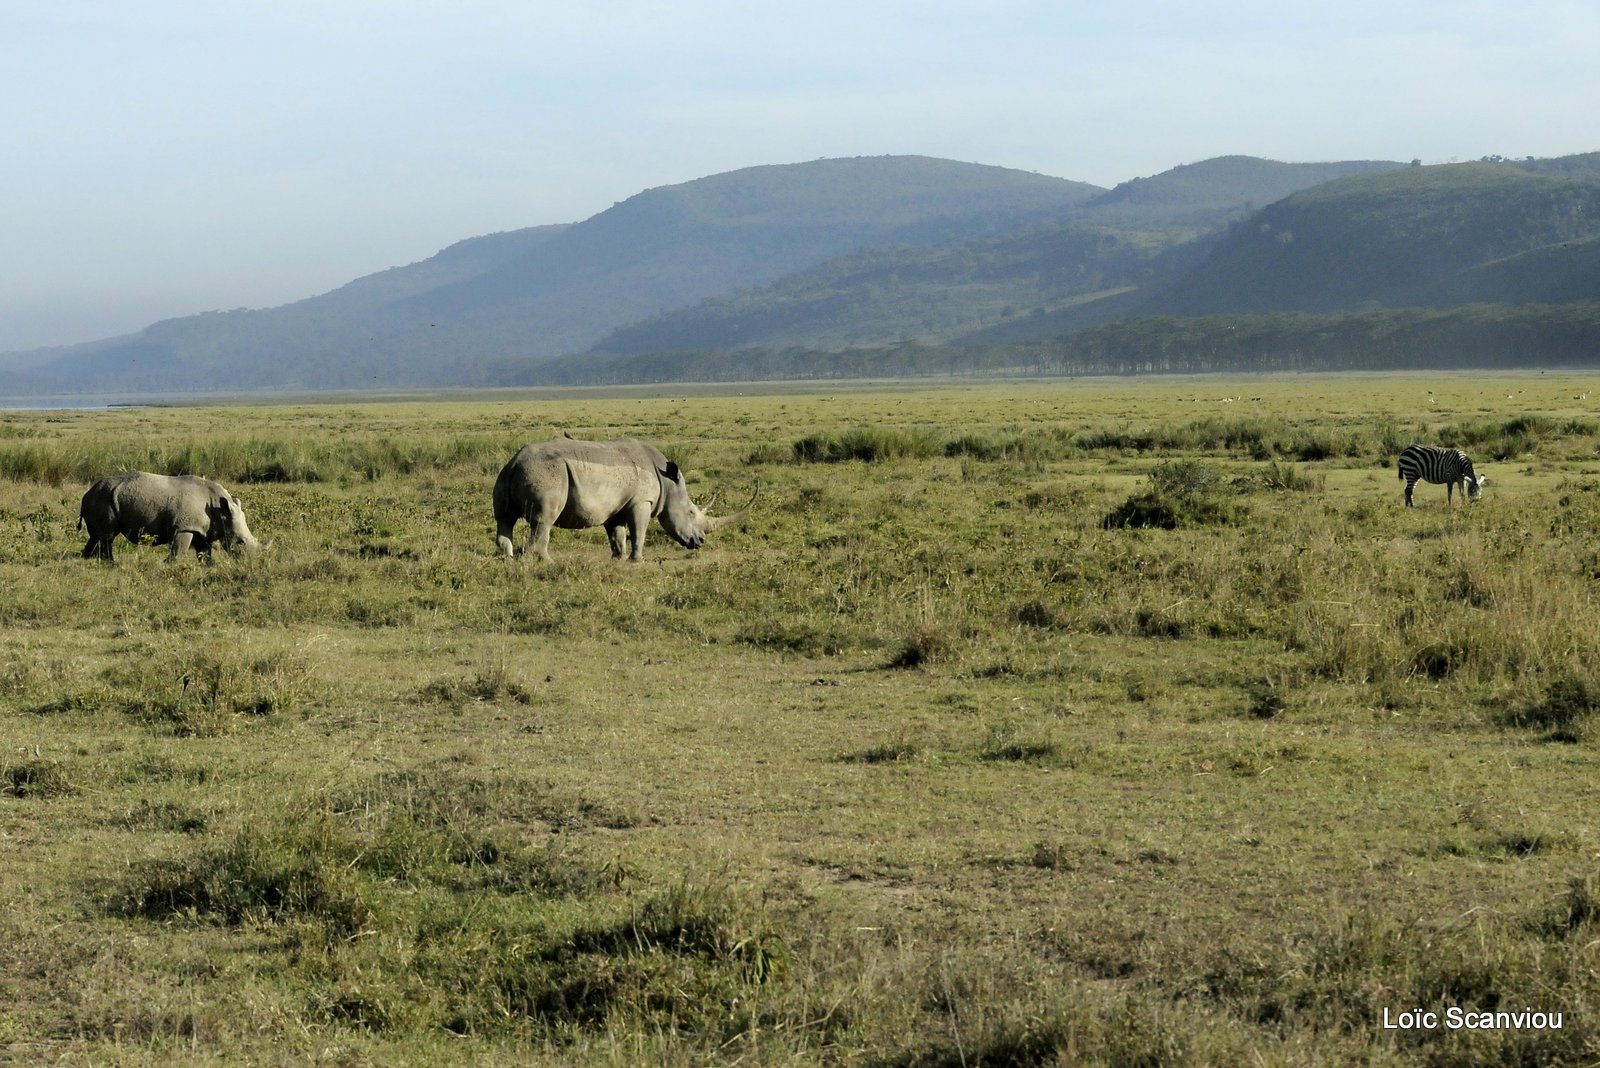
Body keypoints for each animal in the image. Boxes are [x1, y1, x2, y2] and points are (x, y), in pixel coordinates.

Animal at [79, 470, 262, 562]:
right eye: (241, 542)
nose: (251, 562)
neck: (219, 508)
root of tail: (86, 494)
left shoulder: (201, 529)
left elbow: (205, 554)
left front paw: (210, 567)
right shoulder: (184, 527)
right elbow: (178, 553)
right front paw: (171, 567)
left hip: (101, 497)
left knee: (96, 536)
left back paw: (87, 560)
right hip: (103, 498)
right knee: (107, 536)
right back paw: (111, 565)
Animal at [492, 438, 755, 562]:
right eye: (691, 512)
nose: (700, 541)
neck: (668, 482)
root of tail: (516, 461)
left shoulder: (616, 506)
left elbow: (617, 534)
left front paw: (617, 558)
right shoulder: (642, 502)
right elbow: (639, 531)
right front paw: (637, 560)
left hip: (507, 474)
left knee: (505, 519)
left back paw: (509, 560)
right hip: (548, 474)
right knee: (543, 520)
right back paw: (547, 562)